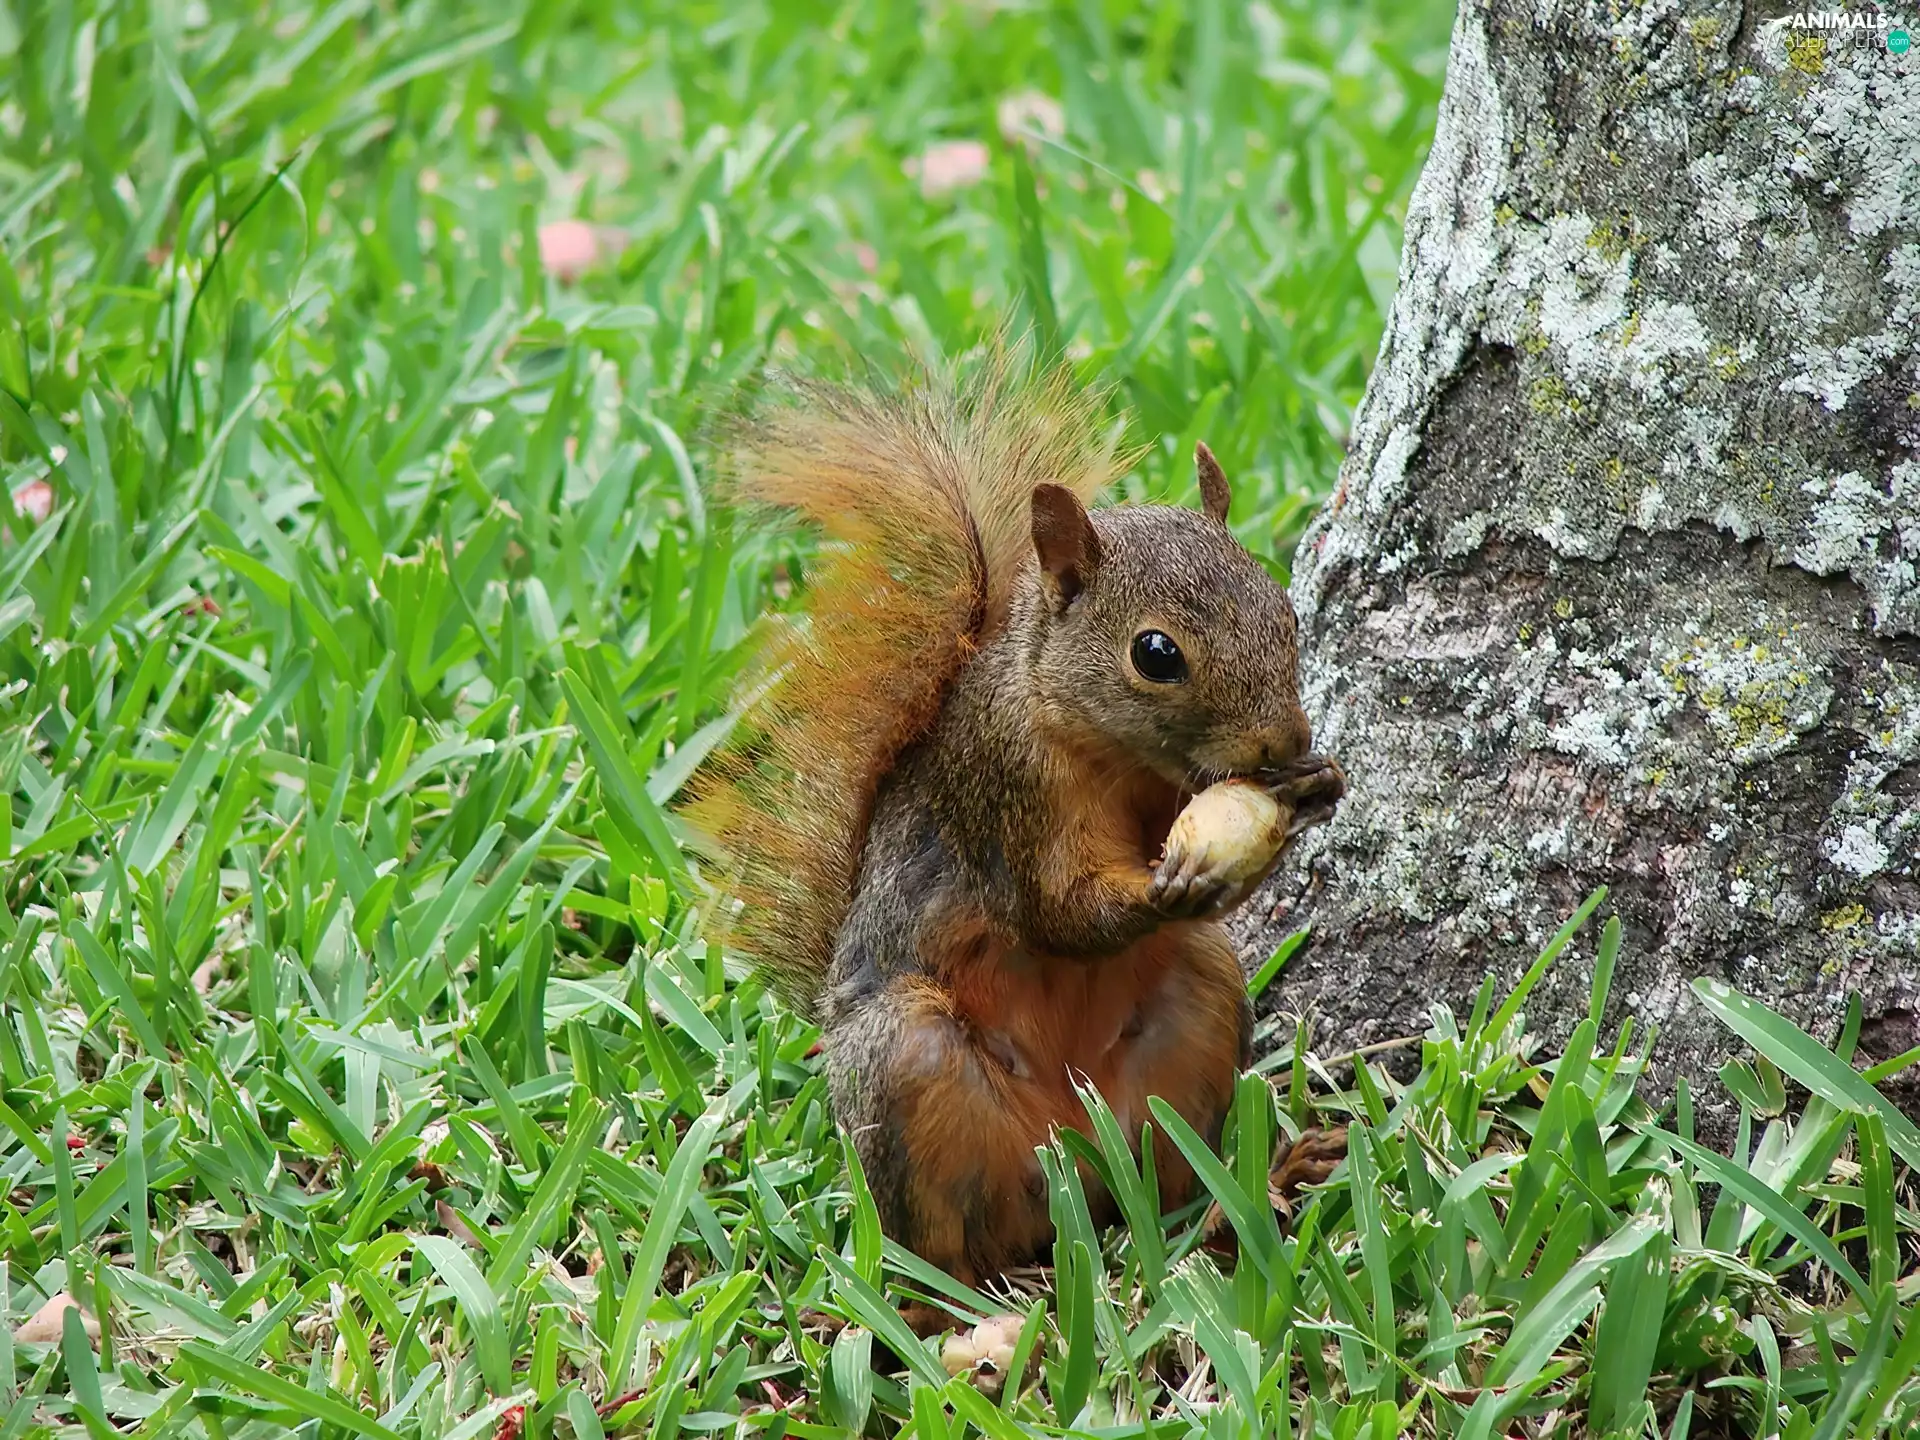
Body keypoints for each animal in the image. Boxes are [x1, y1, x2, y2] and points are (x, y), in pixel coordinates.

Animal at [683, 345, 1348, 1333]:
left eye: (1288, 611)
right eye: (1156, 653)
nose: (1285, 741)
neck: (1104, 747)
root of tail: (1074, 1162)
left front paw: (1315, 787)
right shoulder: (1009, 794)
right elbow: (1058, 912)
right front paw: (1170, 886)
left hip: (1197, 1008)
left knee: (1174, 1191)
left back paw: (1256, 1186)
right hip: (912, 1067)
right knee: (941, 1252)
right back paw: (978, 1296)